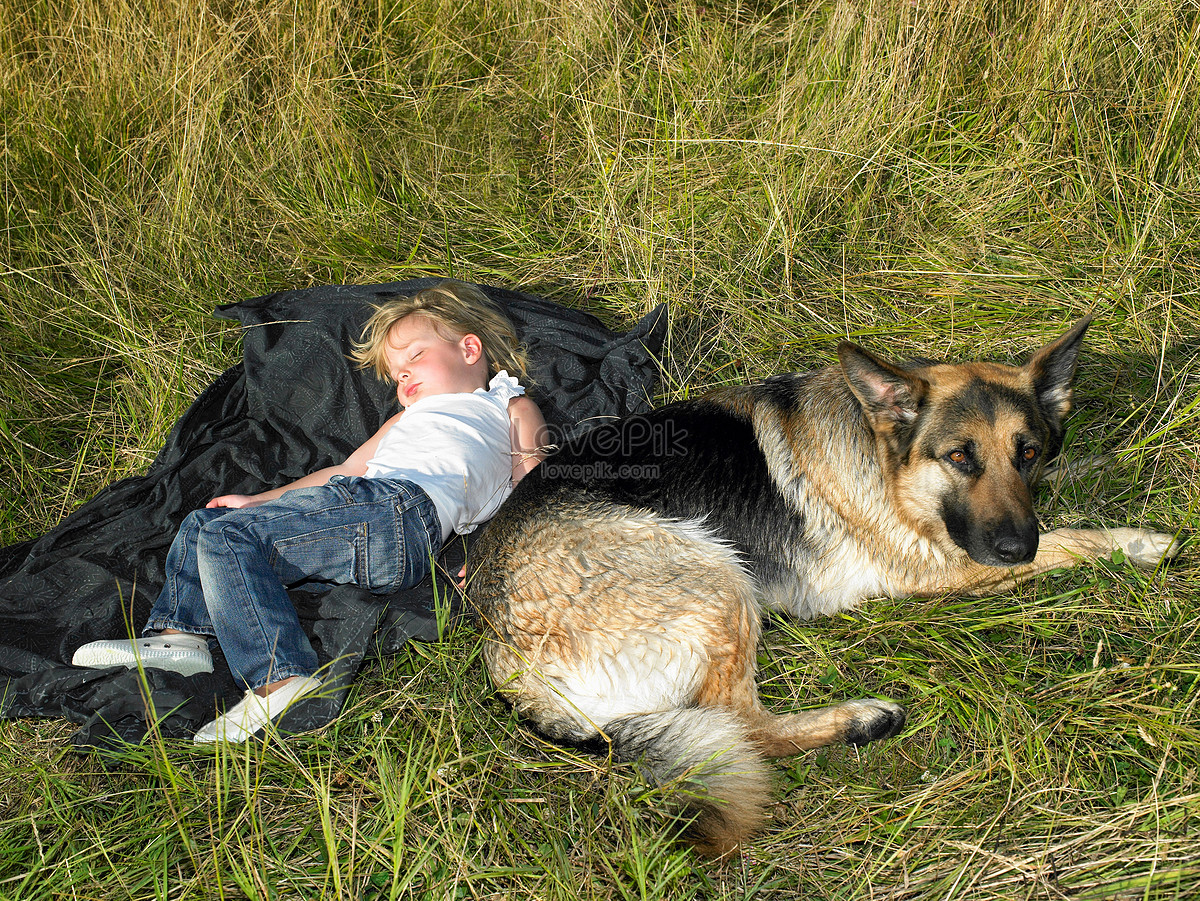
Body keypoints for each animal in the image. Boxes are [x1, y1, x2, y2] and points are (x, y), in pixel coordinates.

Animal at [465, 321, 1180, 854]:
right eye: (959, 458)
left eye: (1027, 453)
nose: (1014, 547)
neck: (883, 452)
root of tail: (513, 674)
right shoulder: (944, 565)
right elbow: (1069, 541)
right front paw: (1136, 541)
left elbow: (1067, 486)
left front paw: (1115, 459)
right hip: (717, 579)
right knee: (747, 727)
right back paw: (859, 718)